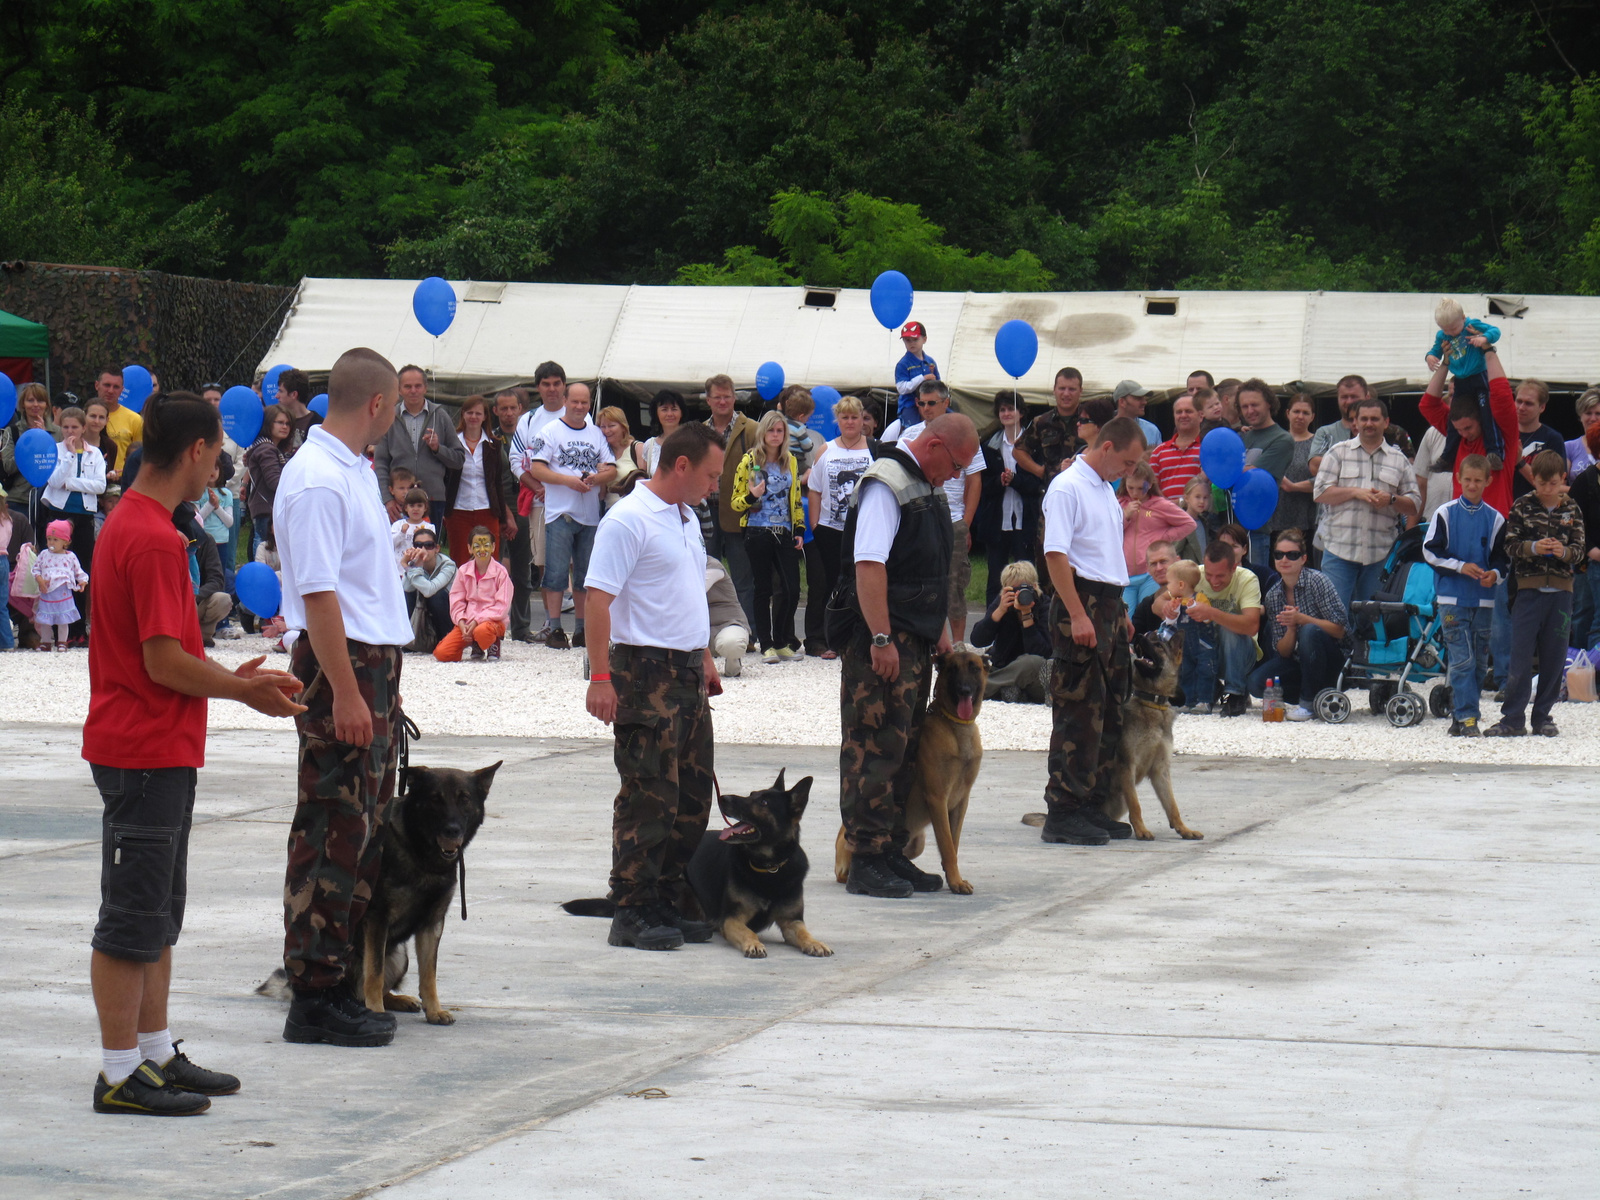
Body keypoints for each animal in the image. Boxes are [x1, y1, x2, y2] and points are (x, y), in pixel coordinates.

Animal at [257, 764, 499, 1030]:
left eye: (464, 799)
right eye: (435, 800)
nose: (452, 830)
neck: (420, 852)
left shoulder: (432, 924)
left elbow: (428, 975)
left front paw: (434, 1010)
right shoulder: (377, 920)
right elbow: (374, 973)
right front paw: (377, 1010)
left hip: (400, 956)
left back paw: (399, 1000)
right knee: (354, 987)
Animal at [563, 774, 832, 966]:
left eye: (763, 802)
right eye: (752, 794)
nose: (724, 799)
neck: (769, 868)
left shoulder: (792, 921)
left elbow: (804, 933)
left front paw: (816, 942)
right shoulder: (731, 920)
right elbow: (748, 932)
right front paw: (753, 944)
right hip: (680, 883)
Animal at [838, 649, 985, 896]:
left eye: (974, 668)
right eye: (952, 669)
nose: (964, 690)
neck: (955, 725)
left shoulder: (961, 803)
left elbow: (953, 845)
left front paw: (954, 878)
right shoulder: (937, 799)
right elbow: (947, 845)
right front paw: (955, 881)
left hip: (918, 842)